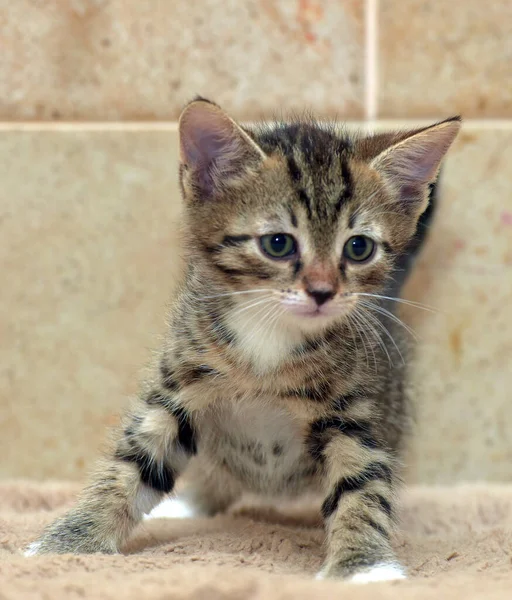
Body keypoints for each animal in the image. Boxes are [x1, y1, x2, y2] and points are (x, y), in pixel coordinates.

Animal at [25, 101, 460, 584]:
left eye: (359, 248)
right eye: (278, 243)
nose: (322, 291)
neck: (269, 340)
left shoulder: (353, 414)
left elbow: (360, 485)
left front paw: (363, 566)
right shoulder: (176, 387)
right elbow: (133, 463)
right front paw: (70, 542)